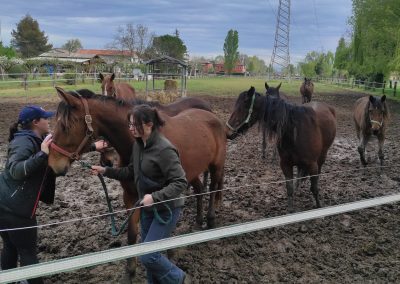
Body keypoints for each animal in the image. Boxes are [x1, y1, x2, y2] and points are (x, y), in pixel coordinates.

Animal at [47, 88, 225, 282]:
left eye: (65, 126)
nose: (53, 165)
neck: (136, 144)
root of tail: (212, 116)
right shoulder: (131, 196)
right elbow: (132, 235)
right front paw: (130, 272)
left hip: (216, 166)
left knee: (213, 189)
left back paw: (210, 220)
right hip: (193, 172)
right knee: (200, 190)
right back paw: (199, 222)